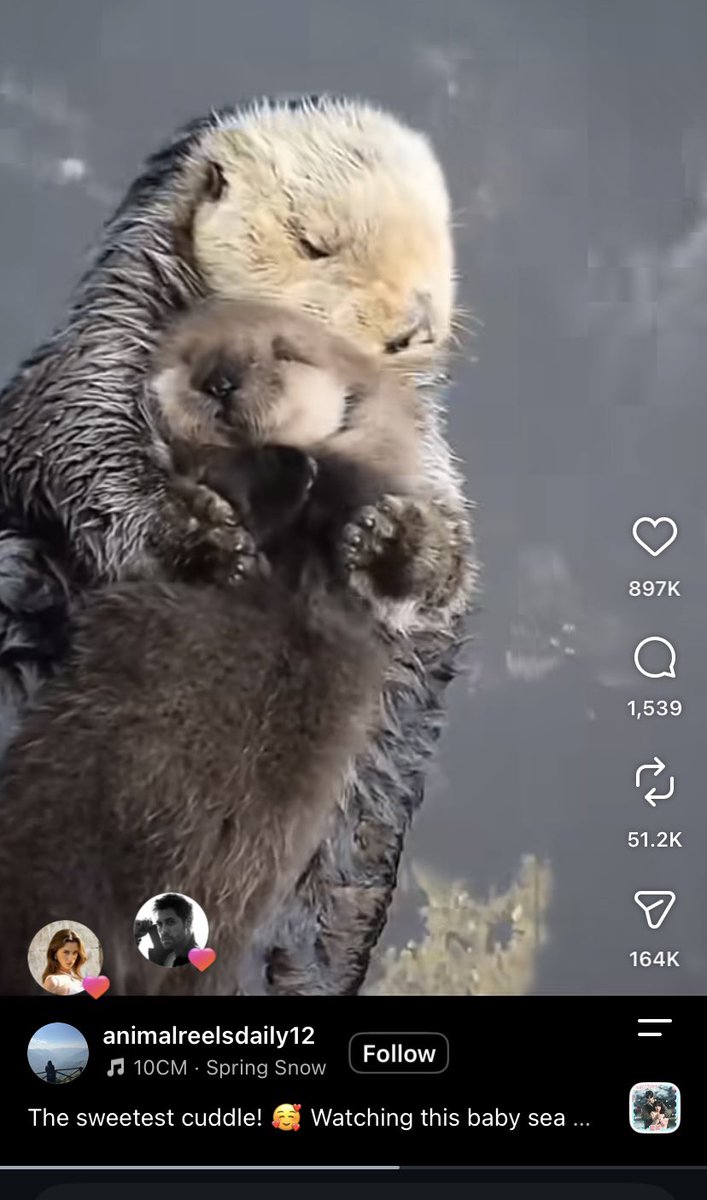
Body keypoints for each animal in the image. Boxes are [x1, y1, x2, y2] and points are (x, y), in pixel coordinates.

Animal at [0, 96, 475, 994]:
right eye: (314, 242)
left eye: (439, 241)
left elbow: (445, 567)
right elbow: (81, 443)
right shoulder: (104, 353)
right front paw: (201, 537)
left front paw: (398, 537)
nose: (415, 324)